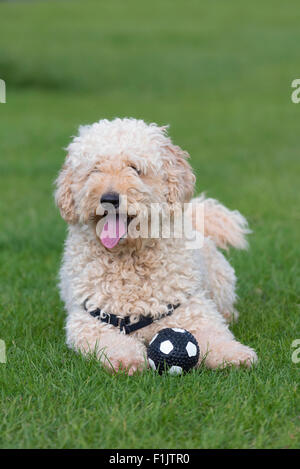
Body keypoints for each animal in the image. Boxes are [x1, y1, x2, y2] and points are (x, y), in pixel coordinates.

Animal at [55, 119, 258, 374]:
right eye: (95, 170)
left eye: (135, 168)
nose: (109, 198)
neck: (129, 258)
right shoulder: (89, 320)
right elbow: (110, 342)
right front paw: (127, 359)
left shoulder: (192, 309)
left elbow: (215, 334)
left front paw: (235, 354)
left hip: (219, 280)